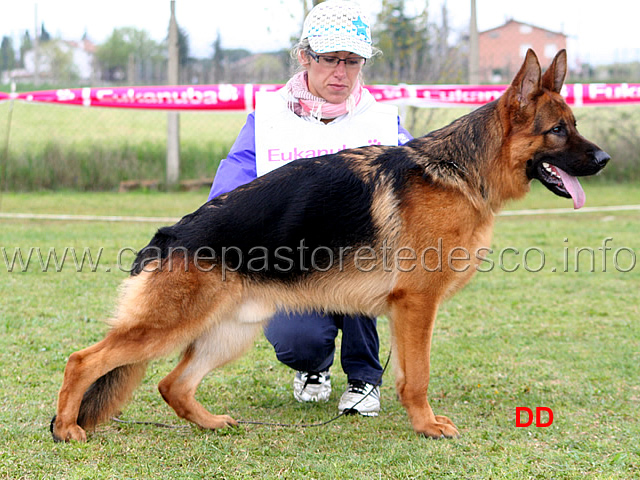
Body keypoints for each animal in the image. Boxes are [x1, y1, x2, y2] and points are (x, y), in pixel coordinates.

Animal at [51, 49, 608, 442]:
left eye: (574, 126)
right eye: (558, 130)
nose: (603, 160)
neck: (458, 170)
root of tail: (169, 234)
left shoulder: (407, 311)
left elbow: (408, 373)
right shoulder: (417, 304)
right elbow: (419, 376)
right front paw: (427, 426)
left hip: (229, 333)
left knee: (172, 384)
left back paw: (209, 423)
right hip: (168, 326)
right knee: (83, 360)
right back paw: (66, 428)